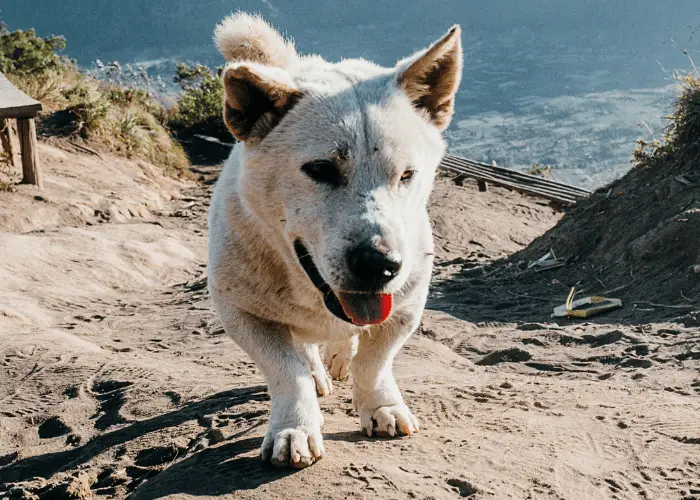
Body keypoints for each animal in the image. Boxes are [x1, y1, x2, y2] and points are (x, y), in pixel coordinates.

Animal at [206, 12, 460, 468]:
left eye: (407, 174)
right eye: (320, 169)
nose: (380, 264)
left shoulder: (405, 307)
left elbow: (375, 362)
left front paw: (381, 406)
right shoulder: (240, 312)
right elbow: (285, 370)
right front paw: (294, 428)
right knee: (302, 352)